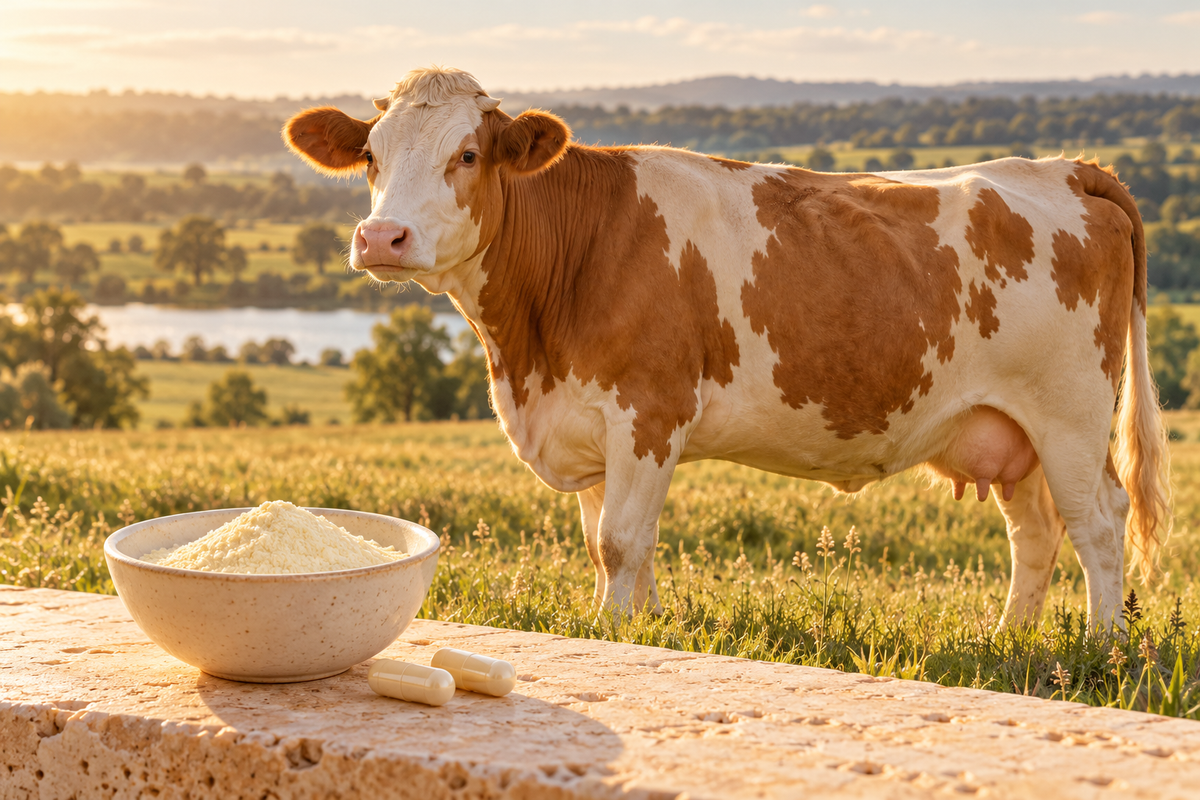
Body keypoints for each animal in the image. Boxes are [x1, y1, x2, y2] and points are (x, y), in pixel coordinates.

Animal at [284, 67, 1170, 630]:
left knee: (1099, 522)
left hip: (1070, 413)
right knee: (1037, 531)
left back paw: (1101, 647)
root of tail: (1064, 167)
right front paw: (637, 628)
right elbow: (612, 547)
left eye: (467, 154)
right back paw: (1009, 642)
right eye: (370, 157)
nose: (381, 237)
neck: (529, 352)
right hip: (1005, 427)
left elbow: (620, 542)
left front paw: (611, 634)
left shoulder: (648, 411)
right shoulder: (588, 429)